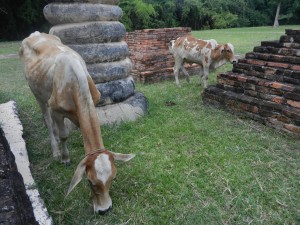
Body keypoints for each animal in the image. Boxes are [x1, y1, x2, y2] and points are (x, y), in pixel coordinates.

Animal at [19, 31, 135, 213]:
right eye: (90, 181)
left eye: (113, 178)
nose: (105, 210)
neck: (74, 80)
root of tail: (35, 34)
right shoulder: (57, 111)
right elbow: (64, 135)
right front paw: (65, 158)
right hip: (36, 93)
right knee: (48, 120)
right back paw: (55, 150)